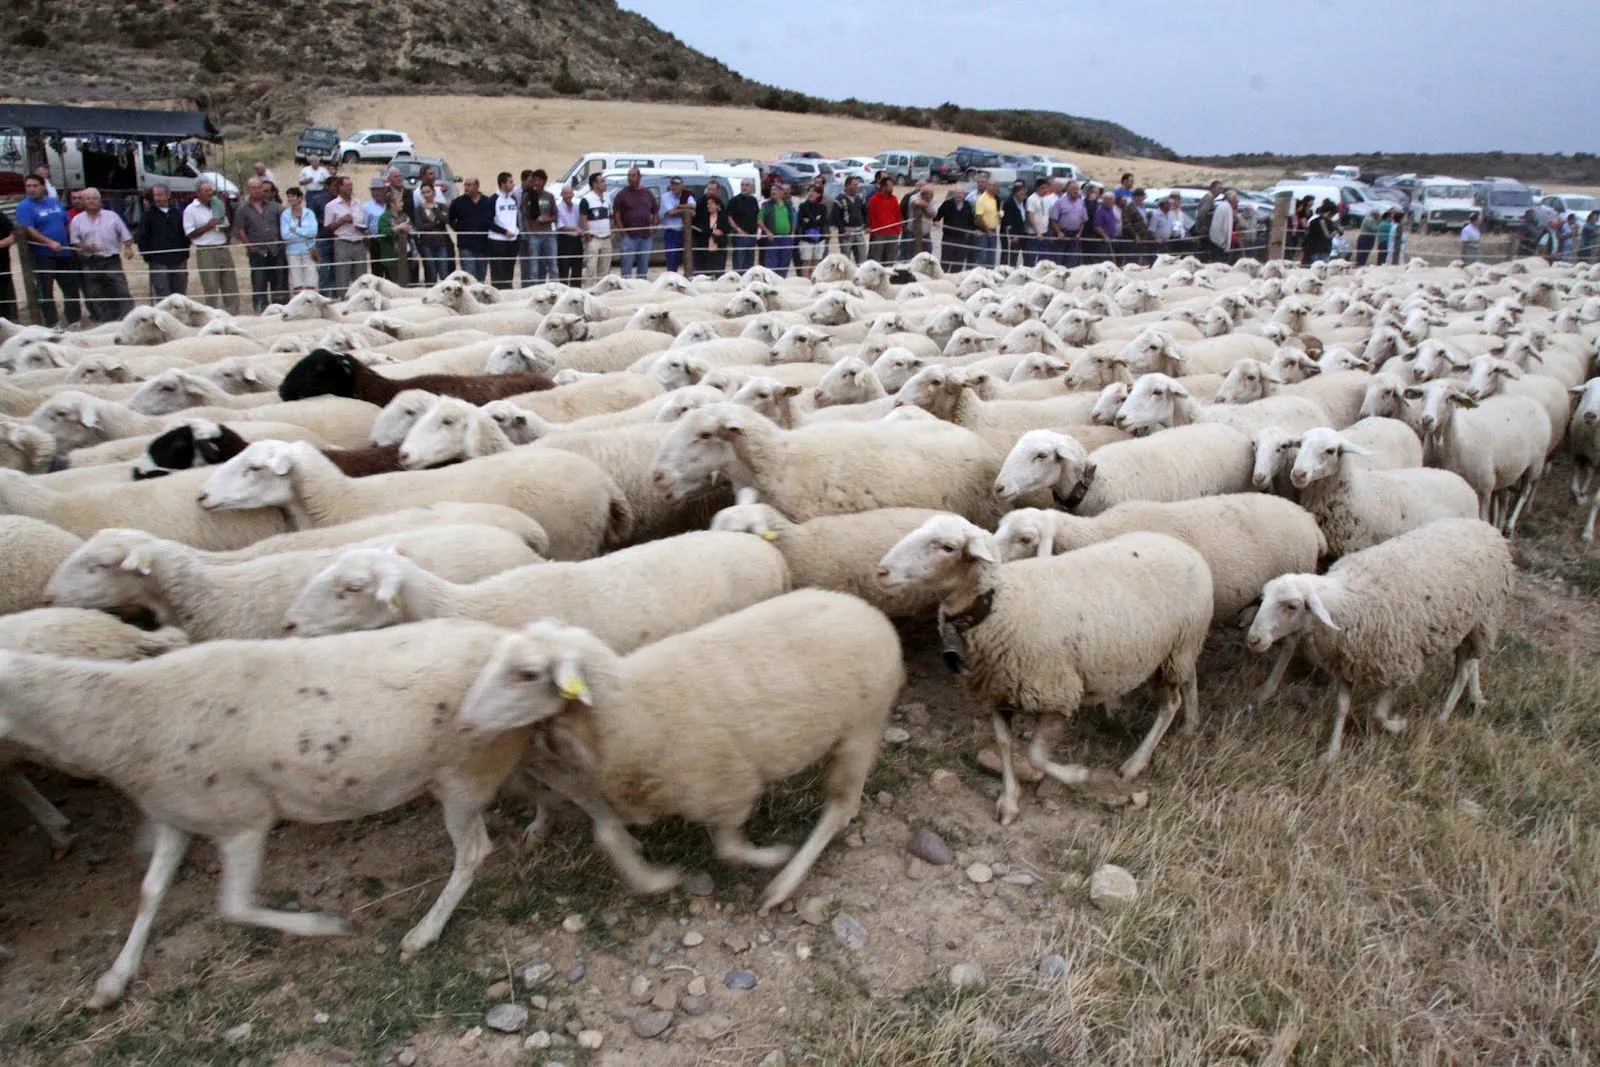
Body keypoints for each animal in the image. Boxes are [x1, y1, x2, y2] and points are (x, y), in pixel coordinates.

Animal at [457, 591, 908, 908]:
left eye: (528, 674)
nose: (464, 722)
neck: (630, 706)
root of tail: (865, 608)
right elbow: (609, 836)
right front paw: (653, 880)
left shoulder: (727, 788)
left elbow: (730, 849)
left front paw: (771, 856)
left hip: (862, 726)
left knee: (840, 808)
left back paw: (785, 882)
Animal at [883, 518, 1203, 825]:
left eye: (948, 547)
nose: (882, 571)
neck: (999, 603)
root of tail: (1181, 546)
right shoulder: (995, 692)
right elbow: (1004, 744)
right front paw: (1009, 802)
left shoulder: (1057, 695)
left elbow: (1036, 756)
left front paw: (1078, 775)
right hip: (1167, 652)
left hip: (1178, 651)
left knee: (1170, 704)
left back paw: (1135, 763)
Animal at [1248, 518, 1510, 758]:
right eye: (1263, 598)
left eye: (1292, 606)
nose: (1253, 639)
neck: (1347, 601)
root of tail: (1486, 526)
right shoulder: (1346, 662)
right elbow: (1341, 707)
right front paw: (1332, 752)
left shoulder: (1398, 663)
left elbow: (1377, 714)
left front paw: (1398, 724)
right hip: (1471, 624)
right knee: (1469, 664)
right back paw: (1475, 698)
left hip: (1483, 620)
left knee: (1464, 671)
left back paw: (1442, 716)